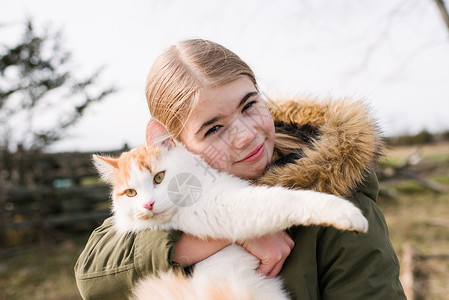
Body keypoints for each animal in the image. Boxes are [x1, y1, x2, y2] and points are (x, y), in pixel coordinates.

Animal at [92, 119, 368, 300]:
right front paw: (349, 214)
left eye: (159, 177)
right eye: (131, 193)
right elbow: (287, 200)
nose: (148, 204)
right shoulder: (229, 209)